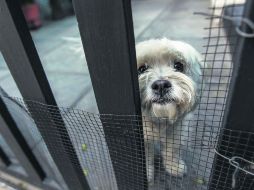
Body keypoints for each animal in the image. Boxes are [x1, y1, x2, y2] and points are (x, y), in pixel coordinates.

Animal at [135, 38, 202, 184]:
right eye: (142, 69)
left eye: (178, 66)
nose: (161, 85)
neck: (160, 118)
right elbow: (145, 155)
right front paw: (145, 173)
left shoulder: (176, 130)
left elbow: (172, 148)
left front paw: (173, 166)